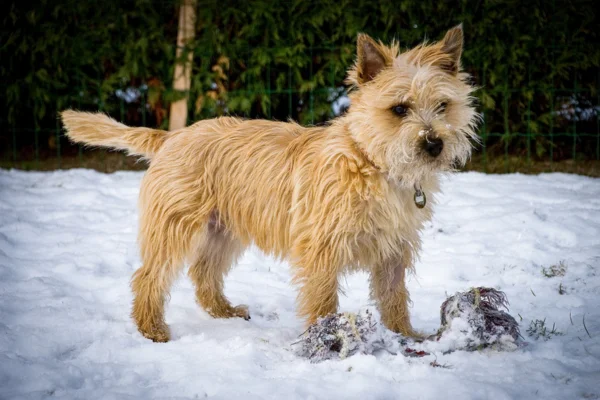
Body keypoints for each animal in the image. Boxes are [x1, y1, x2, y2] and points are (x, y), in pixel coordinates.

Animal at [61, 25, 480, 342]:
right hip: (175, 226)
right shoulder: (321, 249)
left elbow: (394, 297)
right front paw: (326, 340)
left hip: (222, 230)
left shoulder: (393, 252)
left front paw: (405, 337)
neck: (371, 163)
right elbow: (323, 300)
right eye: (399, 109)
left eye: (443, 106)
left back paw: (224, 311)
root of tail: (172, 136)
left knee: (203, 274)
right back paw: (152, 329)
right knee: (149, 276)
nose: (433, 143)